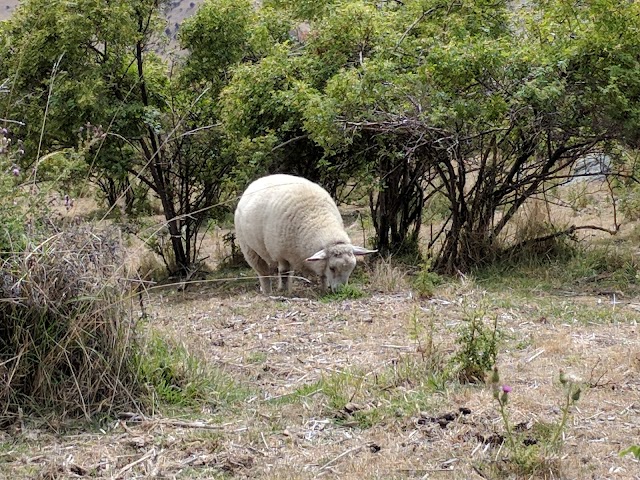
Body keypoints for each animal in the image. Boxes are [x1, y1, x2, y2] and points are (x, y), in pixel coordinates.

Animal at [234, 174, 376, 294]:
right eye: (332, 268)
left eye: (351, 268)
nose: (341, 291)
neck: (318, 219)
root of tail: (257, 181)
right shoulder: (281, 254)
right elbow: (284, 272)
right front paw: (285, 292)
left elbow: (323, 276)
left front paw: (323, 289)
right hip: (249, 248)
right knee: (263, 272)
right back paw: (268, 291)